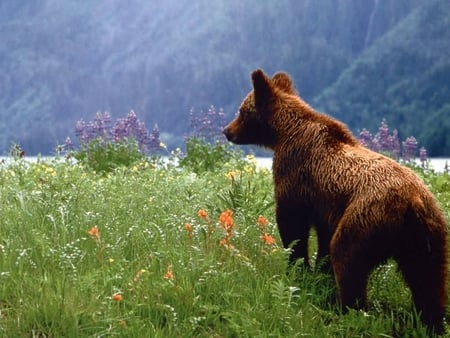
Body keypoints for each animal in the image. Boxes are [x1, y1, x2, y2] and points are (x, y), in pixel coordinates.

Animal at [223, 69, 448, 336]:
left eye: (241, 111)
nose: (227, 131)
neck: (283, 133)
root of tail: (413, 202)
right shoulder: (326, 204)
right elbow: (322, 237)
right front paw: (319, 275)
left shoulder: (294, 173)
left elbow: (292, 225)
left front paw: (297, 268)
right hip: (429, 233)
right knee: (428, 279)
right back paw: (430, 323)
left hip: (367, 218)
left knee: (347, 257)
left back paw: (345, 310)